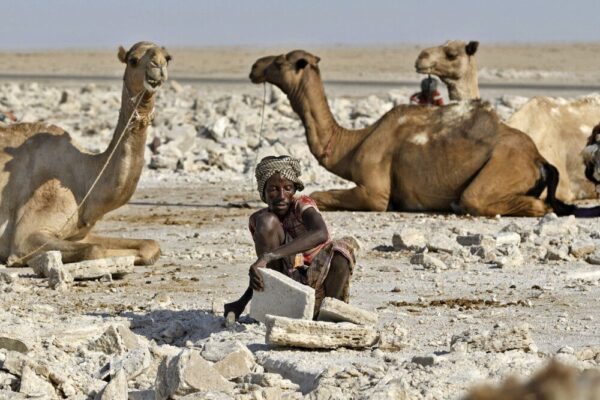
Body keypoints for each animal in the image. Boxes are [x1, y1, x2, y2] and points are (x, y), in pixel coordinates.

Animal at [0, 42, 171, 266]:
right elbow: (95, 250)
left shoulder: (78, 234)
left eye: (168, 58)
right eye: (133, 60)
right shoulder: (26, 237)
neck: (84, 179)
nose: (158, 66)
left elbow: (150, 245)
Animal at [251, 50, 576, 219]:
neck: (353, 144)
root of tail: (539, 160)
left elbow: (319, 195)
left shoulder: (374, 192)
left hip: (502, 170)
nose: (255, 66)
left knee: (488, 200)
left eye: (279, 61)